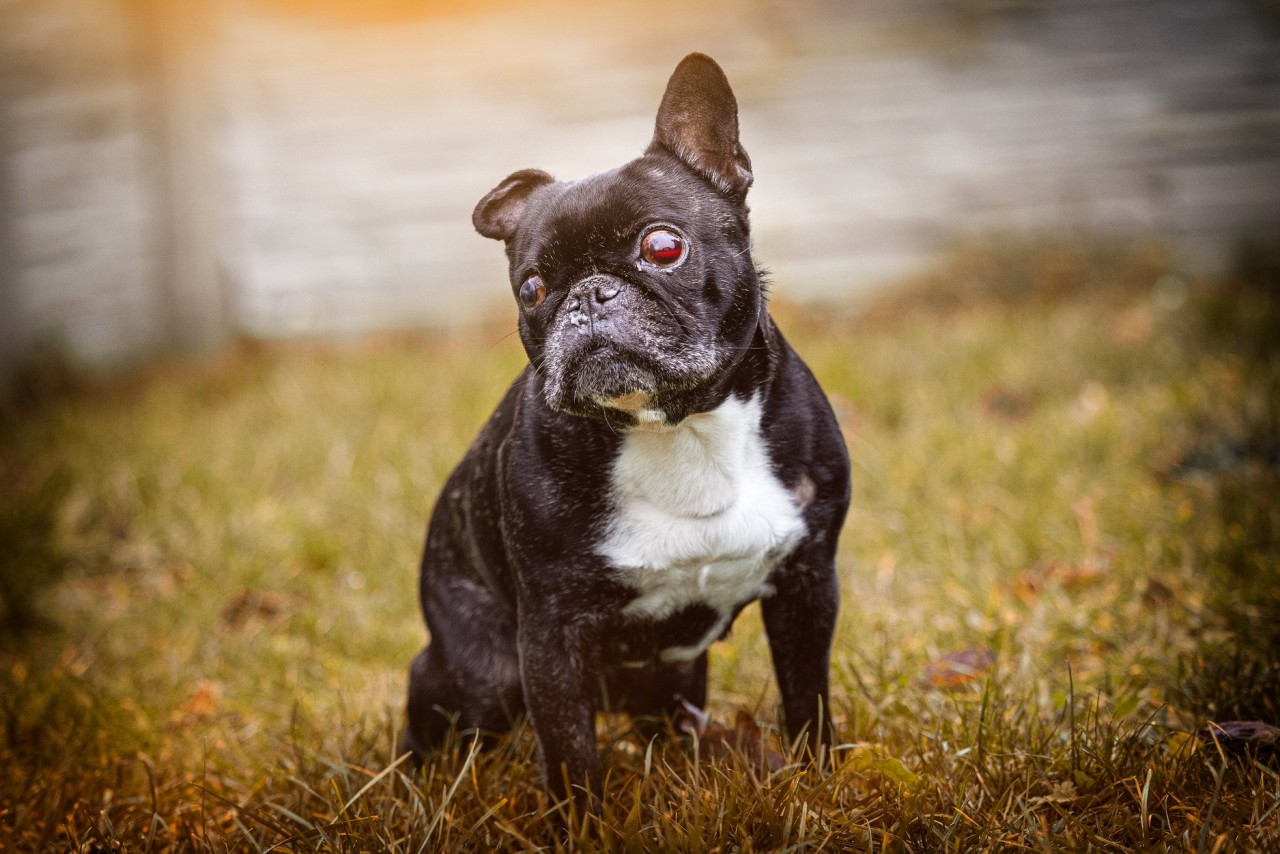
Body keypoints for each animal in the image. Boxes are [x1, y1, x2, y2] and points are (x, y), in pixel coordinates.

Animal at [404, 53, 849, 809]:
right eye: (531, 287)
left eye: (662, 247)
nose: (586, 294)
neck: (677, 426)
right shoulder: (551, 635)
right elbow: (569, 752)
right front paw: (581, 822)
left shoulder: (808, 583)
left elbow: (806, 699)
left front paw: (820, 781)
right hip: (487, 676)